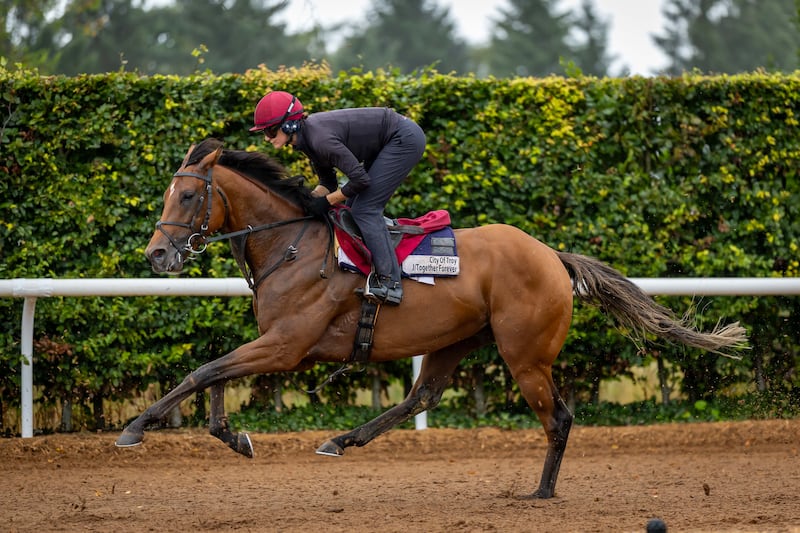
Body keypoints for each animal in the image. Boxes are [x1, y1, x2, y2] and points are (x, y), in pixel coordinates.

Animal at [115, 138, 748, 498]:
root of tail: (551, 255)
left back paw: (541, 492)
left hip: (525, 355)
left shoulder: (287, 344)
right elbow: (214, 372)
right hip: (457, 339)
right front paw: (233, 436)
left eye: (187, 197)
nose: (157, 254)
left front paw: (135, 428)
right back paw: (342, 440)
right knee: (423, 394)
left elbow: (205, 370)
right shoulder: (273, 340)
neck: (292, 245)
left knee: (559, 418)